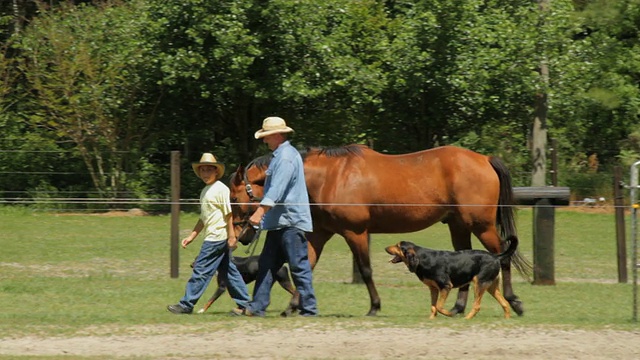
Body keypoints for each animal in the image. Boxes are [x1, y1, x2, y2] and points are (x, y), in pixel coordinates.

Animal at [382, 238, 516, 320]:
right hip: (491, 286)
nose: (385, 248)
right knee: (505, 303)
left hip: (479, 283)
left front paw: (450, 314)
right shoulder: (434, 288)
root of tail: (496, 256)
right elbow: (433, 306)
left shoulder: (446, 286)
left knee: (477, 306)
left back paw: (466, 318)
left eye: (398, 246)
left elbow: (439, 306)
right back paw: (507, 319)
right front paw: (431, 319)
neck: (421, 258)